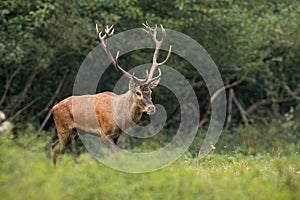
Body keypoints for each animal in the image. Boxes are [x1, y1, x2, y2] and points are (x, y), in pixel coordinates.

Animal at [50, 22, 172, 166]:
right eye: (138, 93)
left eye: (150, 91)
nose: (151, 108)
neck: (120, 117)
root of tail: (54, 108)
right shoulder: (104, 133)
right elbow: (119, 154)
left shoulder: (116, 136)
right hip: (63, 128)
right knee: (56, 149)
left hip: (74, 133)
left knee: (54, 147)